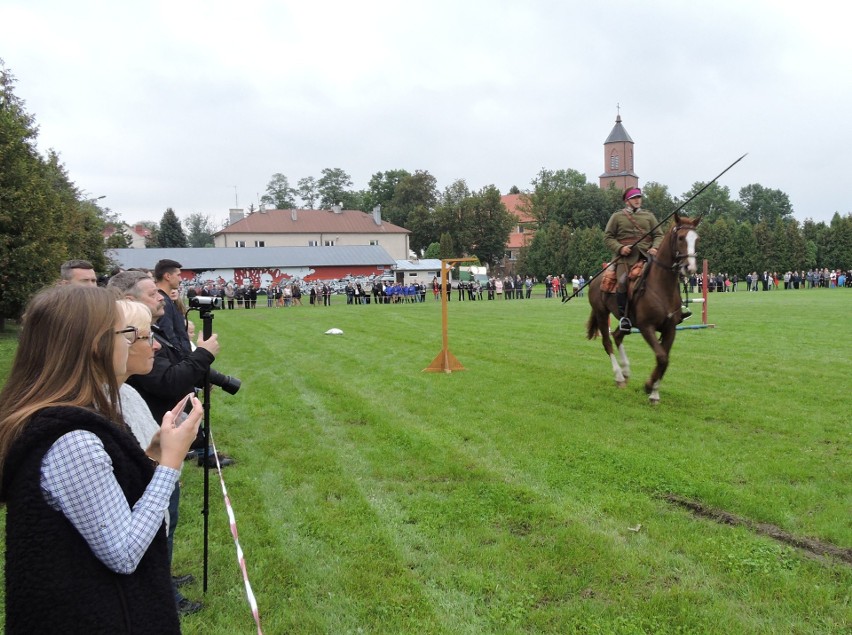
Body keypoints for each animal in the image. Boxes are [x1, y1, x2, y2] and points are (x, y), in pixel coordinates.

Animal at [584, 214, 700, 402]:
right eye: (681, 238)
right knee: (607, 342)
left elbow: (665, 359)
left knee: (617, 336)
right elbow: (661, 357)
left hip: (627, 321)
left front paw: (653, 390)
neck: (661, 286)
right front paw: (650, 388)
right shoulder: (647, 327)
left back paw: (626, 371)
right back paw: (619, 376)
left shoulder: (670, 328)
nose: (690, 268)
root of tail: (595, 280)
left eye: (697, 239)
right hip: (602, 313)